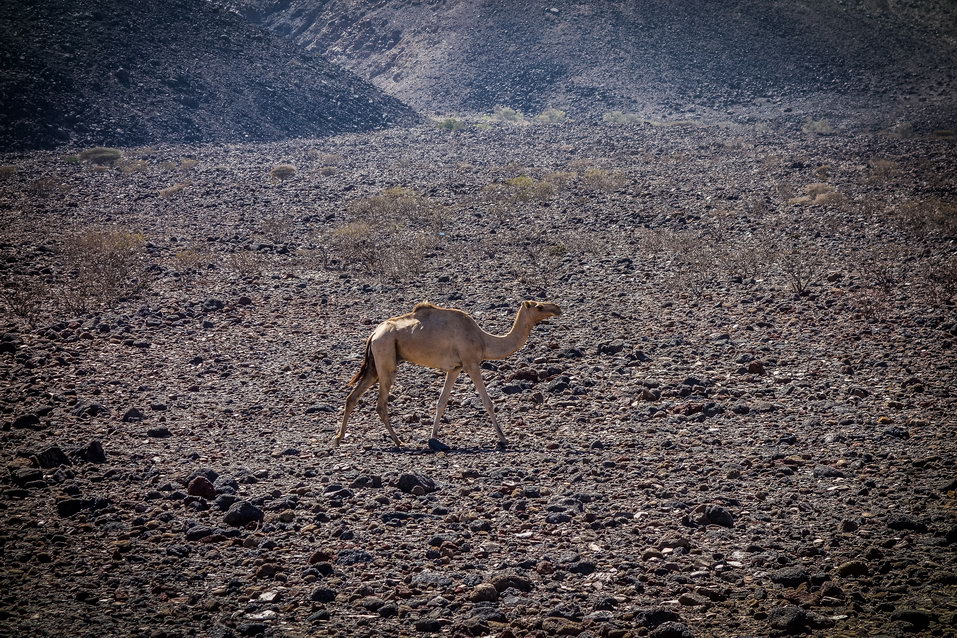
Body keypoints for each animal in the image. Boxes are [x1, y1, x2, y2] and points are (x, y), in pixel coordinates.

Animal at [334, 302, 560, 448]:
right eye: (539, 306)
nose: (557, 308)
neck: (484, 340)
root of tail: (373, 334)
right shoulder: (471, 363)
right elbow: (487, 402)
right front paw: (503, 438)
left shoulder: (455, 368)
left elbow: (441, 402)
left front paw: (434, 437)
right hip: (386, 356)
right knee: (380, 404)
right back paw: (400, 441)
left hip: (375, 365)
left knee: (352, 397)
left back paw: (339, 438)